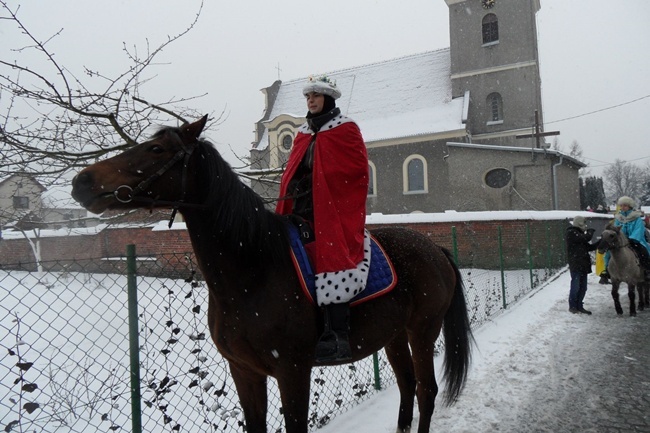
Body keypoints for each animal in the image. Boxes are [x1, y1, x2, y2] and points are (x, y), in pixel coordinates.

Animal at [71, 115, 474, 432]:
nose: (81, 182)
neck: (252, 272)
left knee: (425, 390)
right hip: (394, 335)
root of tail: (434, 249)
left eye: (156, 150)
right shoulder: (245, 371)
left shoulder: (292, 371)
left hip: (422, 330)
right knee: (407, 385)